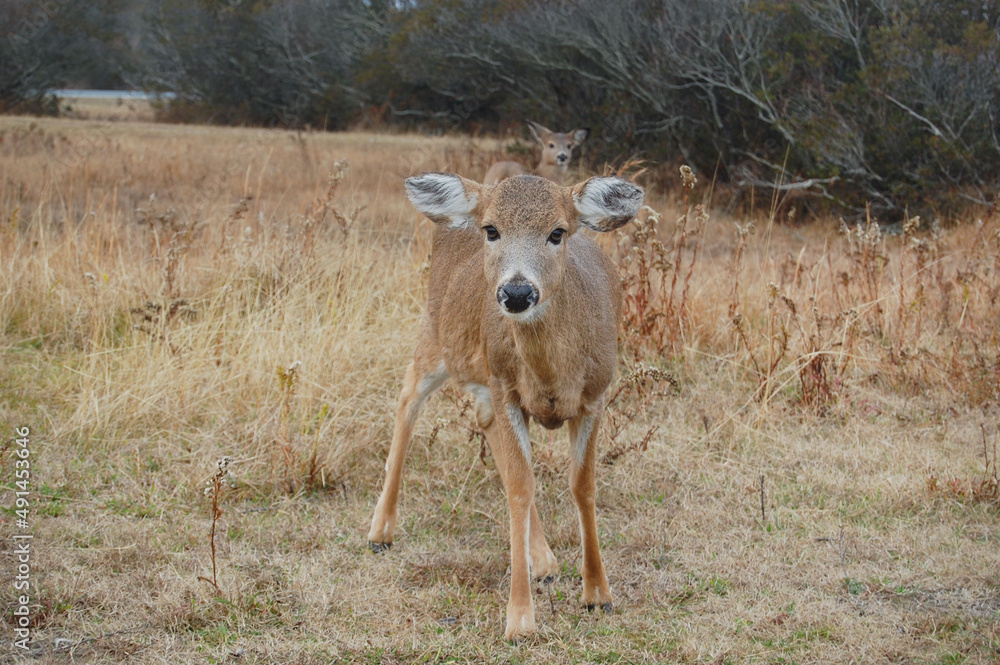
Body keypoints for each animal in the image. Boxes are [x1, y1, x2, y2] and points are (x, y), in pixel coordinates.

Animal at [367, 171, 644, 641]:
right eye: (492, 230)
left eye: (557, 232)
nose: (516, 291)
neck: (553, 375)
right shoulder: (508, 389)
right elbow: (519, 486)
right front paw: (520, 619)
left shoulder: (595, 394)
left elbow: (582, 486)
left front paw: (597, 593)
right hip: (437, 333)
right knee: (408, 398)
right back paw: (380, 530)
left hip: (482, 374)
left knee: (484, 423)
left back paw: (545, 561)